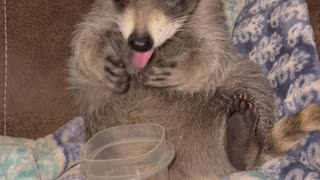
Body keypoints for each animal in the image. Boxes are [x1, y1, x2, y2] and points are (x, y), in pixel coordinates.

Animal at [69, 0, 276, 178]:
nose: (139, 42)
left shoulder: (209, 20)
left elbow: (211, 58)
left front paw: (181, 71)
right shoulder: (102, 12)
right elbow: (86, 41)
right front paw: (101, 61)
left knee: (247, 78)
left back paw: (242, 146)